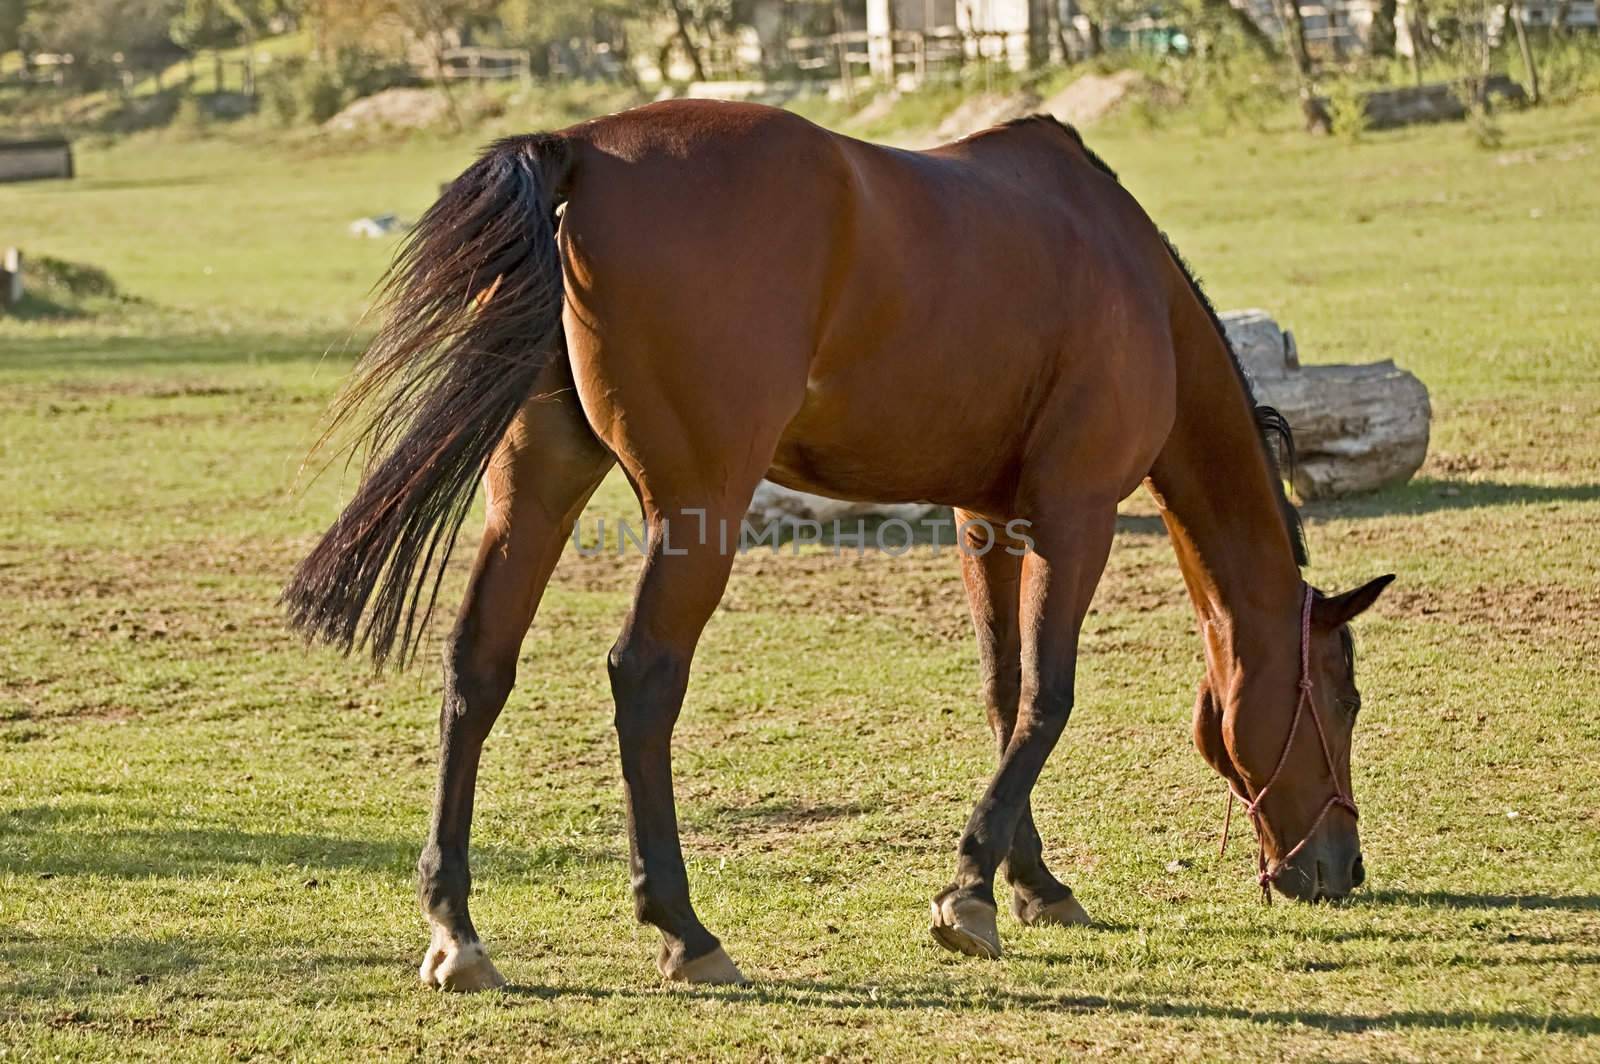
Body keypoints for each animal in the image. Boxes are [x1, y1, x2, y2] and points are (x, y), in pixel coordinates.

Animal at [284, 99, 1388, 985]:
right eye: (1342, 695)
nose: (1342, 868)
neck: (1129, 278)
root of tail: (585, 152)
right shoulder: (1076, 516)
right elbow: (1047, 697)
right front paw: (969, 891)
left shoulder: (987, 519)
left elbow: (1002, 693)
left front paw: (1031, 881)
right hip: (698, 509)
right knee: (642, 677)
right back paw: (685, 930)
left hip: (538, 484)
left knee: (478, 667)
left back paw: (457, 930)